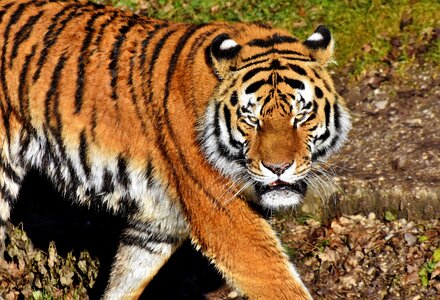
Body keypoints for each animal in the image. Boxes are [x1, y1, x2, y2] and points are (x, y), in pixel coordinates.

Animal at [0, 0, 350, 298]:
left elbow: (124, 281)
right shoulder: (224, 215)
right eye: (251, 118)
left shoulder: (157, 223)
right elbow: (278, 282)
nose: (278, 168)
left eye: (301, 114)